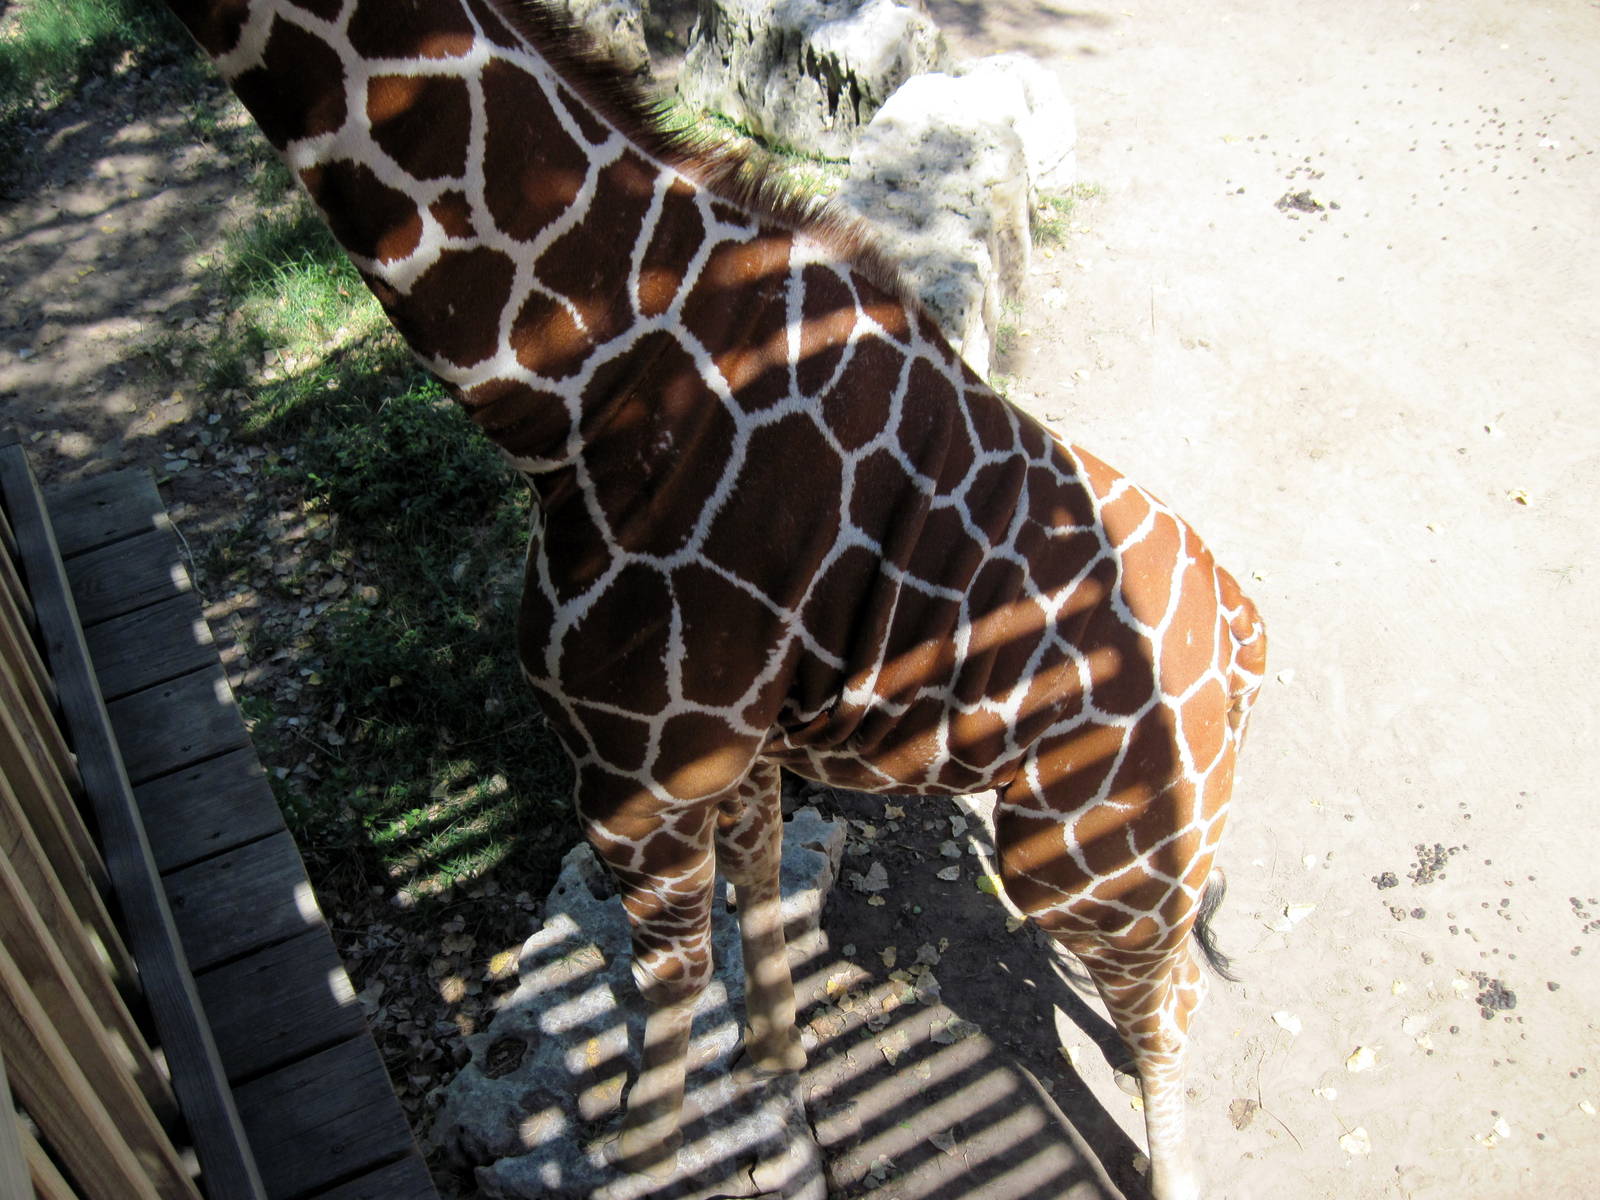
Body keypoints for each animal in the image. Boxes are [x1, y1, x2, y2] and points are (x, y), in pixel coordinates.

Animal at [160, 2, 1268, 1196]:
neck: (575, 389)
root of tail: (1247, 640)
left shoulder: (635, 771)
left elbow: (673, 990)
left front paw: (650, 1159)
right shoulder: (730, 751)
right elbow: (757, 882)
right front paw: (775, 1068)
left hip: (1086, 853)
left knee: (1167, 1001)